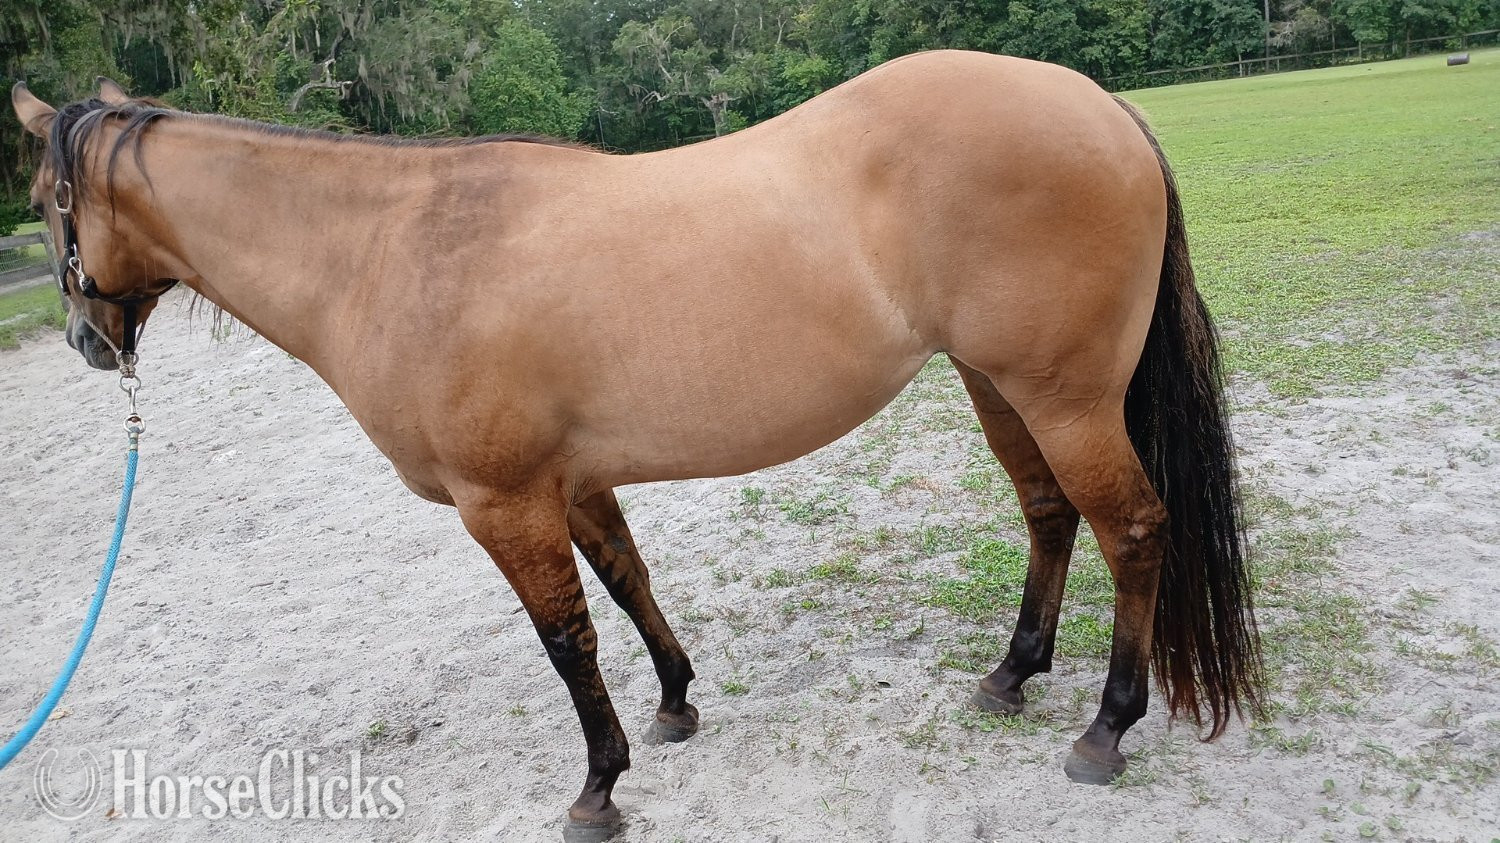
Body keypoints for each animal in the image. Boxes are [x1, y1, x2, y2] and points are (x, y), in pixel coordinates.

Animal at [11, 51, 1262, 838]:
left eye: (43, 201)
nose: (83, 340)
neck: (393, 251)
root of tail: (1099, 106)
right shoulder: (572, 483)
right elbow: (626, 584)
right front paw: (675, 706)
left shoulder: (503, 501)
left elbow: (564, 639)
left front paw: (597, 790)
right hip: (1001, 388)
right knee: (1051, 516)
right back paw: (1011, 675)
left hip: (1064, 398)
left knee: (1131, 530)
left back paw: (1105, 728)